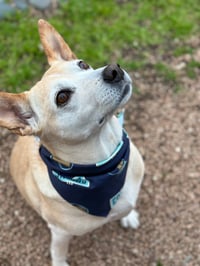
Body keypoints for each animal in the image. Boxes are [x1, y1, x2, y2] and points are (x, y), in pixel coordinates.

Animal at [0, 20, 144, 266]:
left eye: (83, 64)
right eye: (62, 97)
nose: (113, 70)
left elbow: (127, 206)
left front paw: (130, 215)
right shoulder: (60, 233)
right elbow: (58, 252)